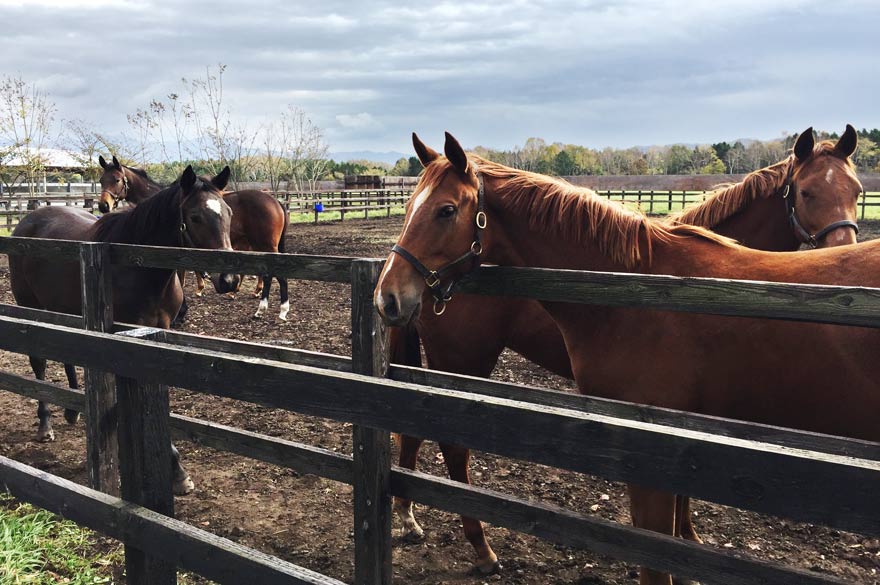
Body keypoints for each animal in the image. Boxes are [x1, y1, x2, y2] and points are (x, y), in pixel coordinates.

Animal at [9, 165, 237, 495]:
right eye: (195, 216)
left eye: (229, 213)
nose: (228, 279)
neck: (138, 267)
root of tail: (28, 221)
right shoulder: (123, 340)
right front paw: (175, 470)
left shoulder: (157, 332)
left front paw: (176, 471)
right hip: (31, 307)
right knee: (39, 363)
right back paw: (45, 425)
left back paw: (73, 410)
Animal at [97, 157, 290, 320]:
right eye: (101, 180)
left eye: (117, 180)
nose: (103, 205)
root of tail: (276, 201)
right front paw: (199, 288)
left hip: (266, 246)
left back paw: (271, 309)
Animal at [374, 132, 877, 585]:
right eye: (806, 191)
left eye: (856, 191)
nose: (389, 296)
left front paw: (690, 542)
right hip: (461, 359)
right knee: (449, 445)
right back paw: (476, 547)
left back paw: (412, 517)